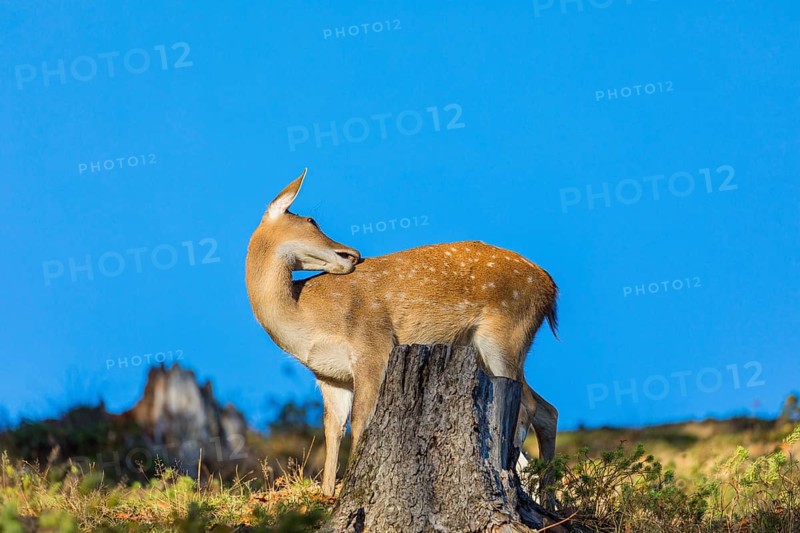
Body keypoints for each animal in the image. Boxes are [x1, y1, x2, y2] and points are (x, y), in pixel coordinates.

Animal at [245, 169, 560, 504]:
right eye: (310, 220)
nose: (353, 255)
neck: (305, 317)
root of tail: (550, 289)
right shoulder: (329, 375)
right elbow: (332, 429)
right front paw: (328, 496)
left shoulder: (373, 344)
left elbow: (361, 421)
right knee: (547, 410)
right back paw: (546, 497)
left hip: (505, 334)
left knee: (529, 406)